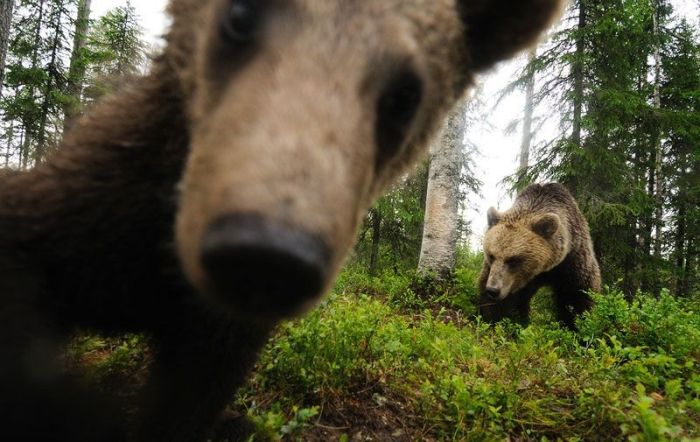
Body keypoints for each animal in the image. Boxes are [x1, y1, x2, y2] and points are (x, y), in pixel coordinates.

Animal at [0, 0, 564, 442]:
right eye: (241, 14)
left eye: (407, 94)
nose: (264, 253)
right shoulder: (95, 211)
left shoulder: (218, 337)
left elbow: (187, 402)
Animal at [478, 183, 604, 328]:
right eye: (491, 256)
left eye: (513, 260)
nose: (493, 290)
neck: (544, 270)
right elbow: (499, 303)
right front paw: (496, 321)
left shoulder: (572, 261)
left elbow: (577, 296)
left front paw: (575, 324)